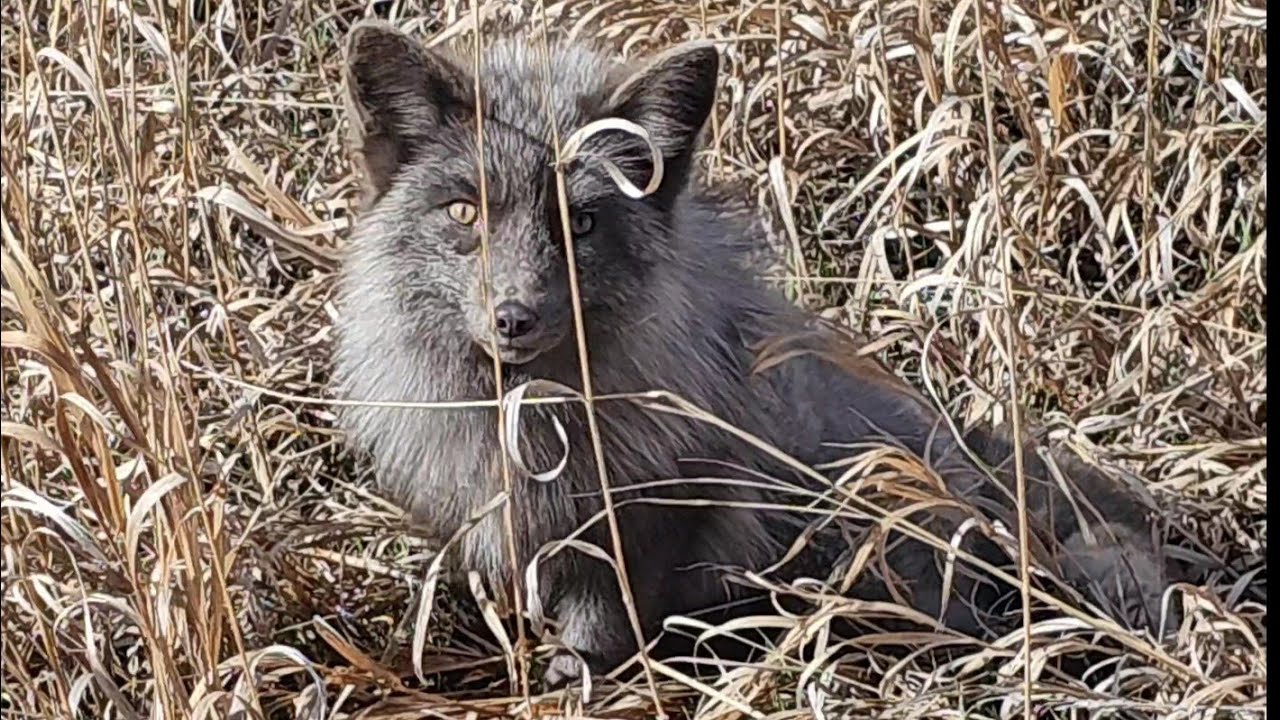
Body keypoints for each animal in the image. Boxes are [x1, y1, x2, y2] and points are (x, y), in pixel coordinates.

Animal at [331, 21, 1176, 686]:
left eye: (582, 224)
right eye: (463, 212)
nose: (515, 317)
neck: (530, 420)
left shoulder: (670, 503)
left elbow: (610, 613)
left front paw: (583, 674)